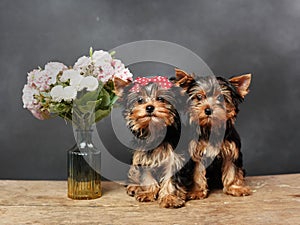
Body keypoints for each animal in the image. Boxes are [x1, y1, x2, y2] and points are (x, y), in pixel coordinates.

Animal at [172, 69, 252, 199]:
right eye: (199, 97)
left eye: (220, 97)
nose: (208, 110)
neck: (210, 127)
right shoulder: (197, 152)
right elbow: (197, 172)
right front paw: (197, 191)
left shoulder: (231, 150)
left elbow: (232, 169)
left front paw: (234, 187)